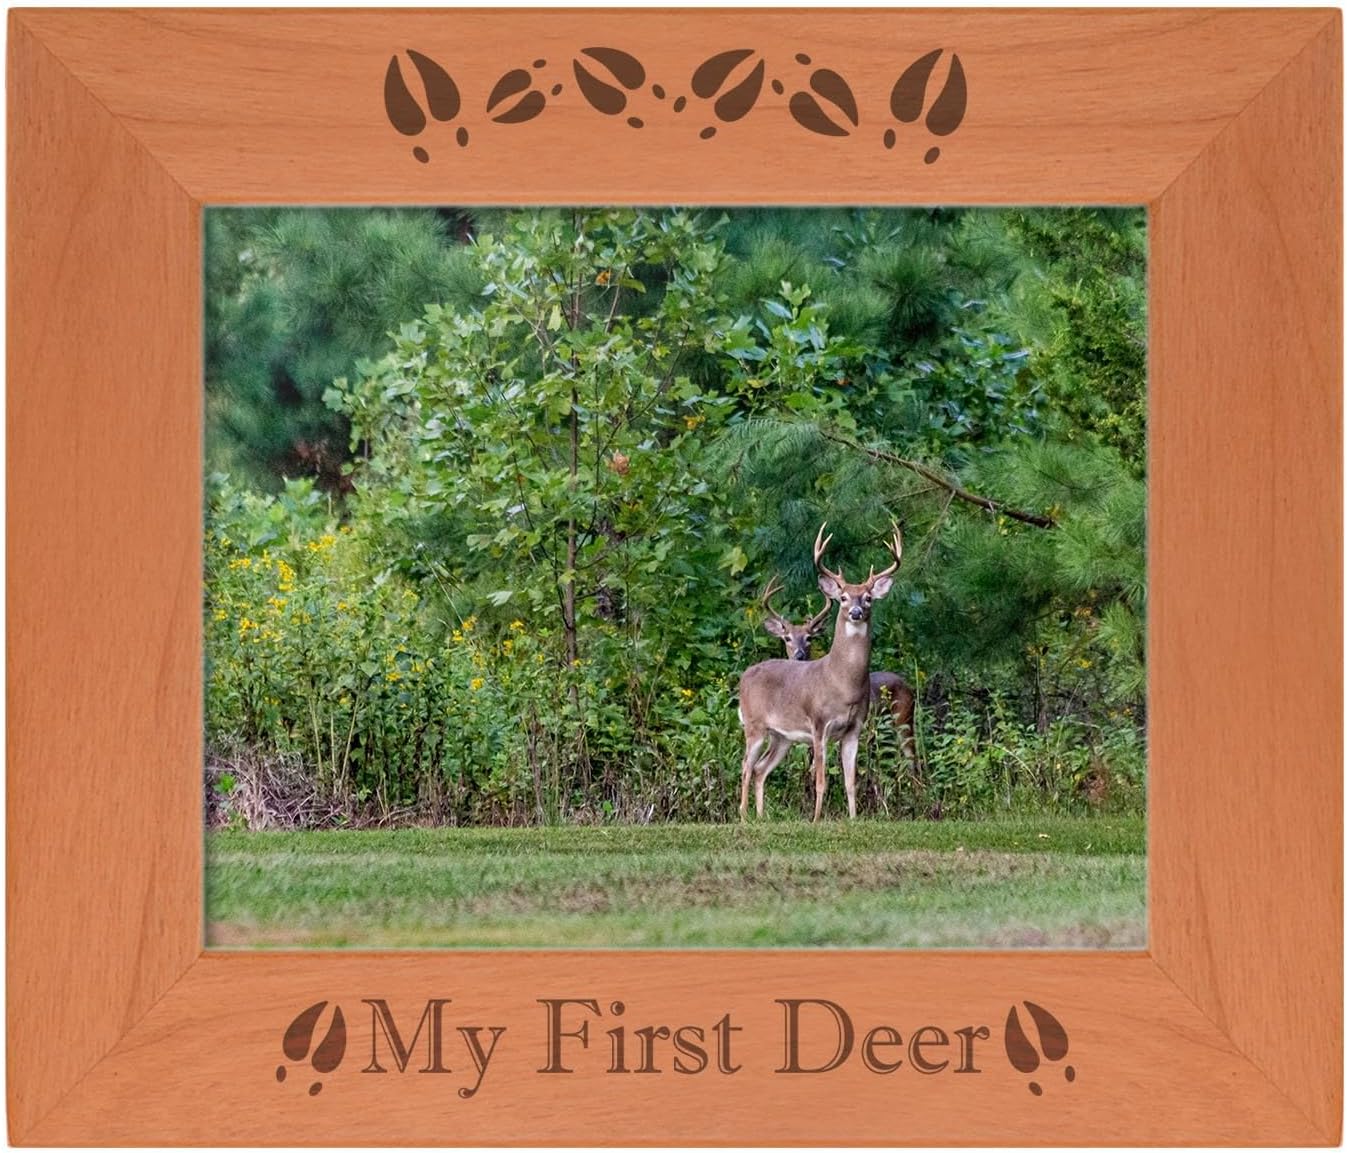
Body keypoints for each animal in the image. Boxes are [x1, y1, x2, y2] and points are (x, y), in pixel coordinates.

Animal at [738, 522, 902, 822]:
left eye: (868, 598)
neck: (842, 682)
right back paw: (744, 816)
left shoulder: (854, 728)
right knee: (746, 766)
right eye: (844, 597)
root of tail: (745, 675)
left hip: (782, 736)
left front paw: (853, 819)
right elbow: (821, 781)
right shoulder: (819, 724)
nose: (856, 612)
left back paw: (761, 816)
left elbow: (850, 781)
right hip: (754, 725)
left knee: (760, 768)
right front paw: (815, 820)